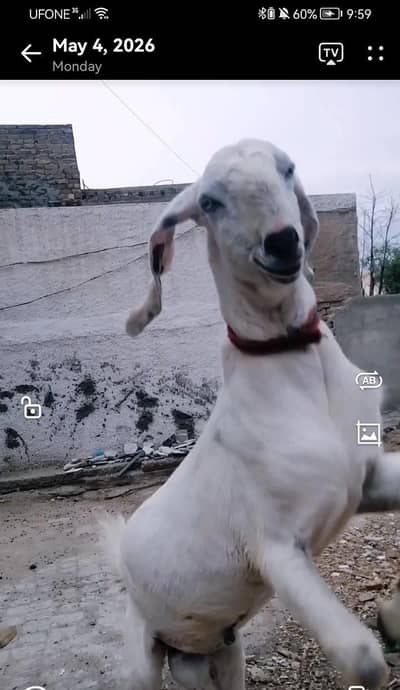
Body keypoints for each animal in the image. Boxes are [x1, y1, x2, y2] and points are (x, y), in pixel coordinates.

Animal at [102, 139, 400, 690]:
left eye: (287, 168)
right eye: (210, 201)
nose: (283, 242)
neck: (299, 374)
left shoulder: (365, 480)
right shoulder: (275, 547)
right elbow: (363, 659)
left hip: (221, 654)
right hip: (141, 662)